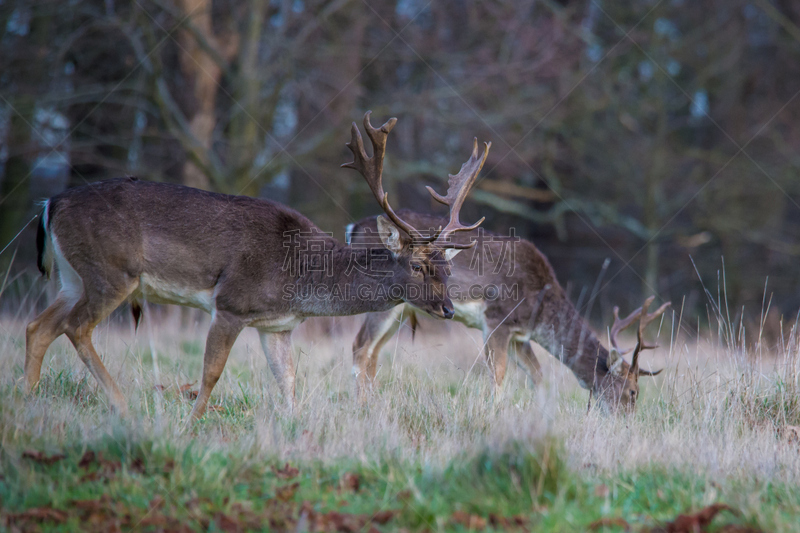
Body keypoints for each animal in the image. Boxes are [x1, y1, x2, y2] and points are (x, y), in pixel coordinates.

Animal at [23, 112, 488, 420]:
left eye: (448, 269)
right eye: (417, 266)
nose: (448, 309)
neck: (299, 276)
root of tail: (49, 204)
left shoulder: (277, 325)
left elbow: (288, 382)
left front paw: (296, 429)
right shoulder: (231, 303)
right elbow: (212, 373)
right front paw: (193, 423)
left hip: (72, 277)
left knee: (39, 326)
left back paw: (28, 395)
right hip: (112, 272)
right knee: (76, 327)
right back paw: (121, 405)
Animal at [348, 212, 668, 412]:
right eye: (632, 392)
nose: (626, 422)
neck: (540, 304)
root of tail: (353, 229)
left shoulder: (519, 335)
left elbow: (538, 376)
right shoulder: (497, 319)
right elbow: (499, 374)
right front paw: (495, 414)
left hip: (399, 309)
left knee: (373, 352)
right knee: (360, 345)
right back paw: (361, 406)